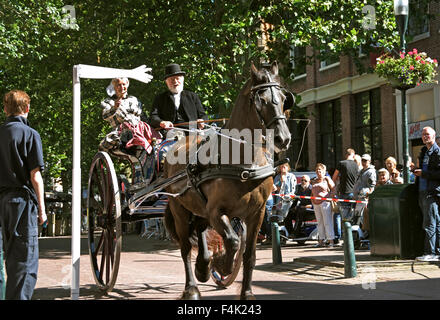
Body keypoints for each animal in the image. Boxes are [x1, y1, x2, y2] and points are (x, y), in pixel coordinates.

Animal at [163, 61, 290, 298]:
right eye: (261, 99)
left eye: (284, 98)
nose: (283, 138)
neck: (244, 162)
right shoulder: (216, 211)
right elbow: (232, 240)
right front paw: (223, 265)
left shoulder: (257, 214)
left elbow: (249, 255)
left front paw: (246, 292)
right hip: (180, 210)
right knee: (185, 248)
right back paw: (192, 288)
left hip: (199, 208)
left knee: (200, 232)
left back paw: (203, 267)